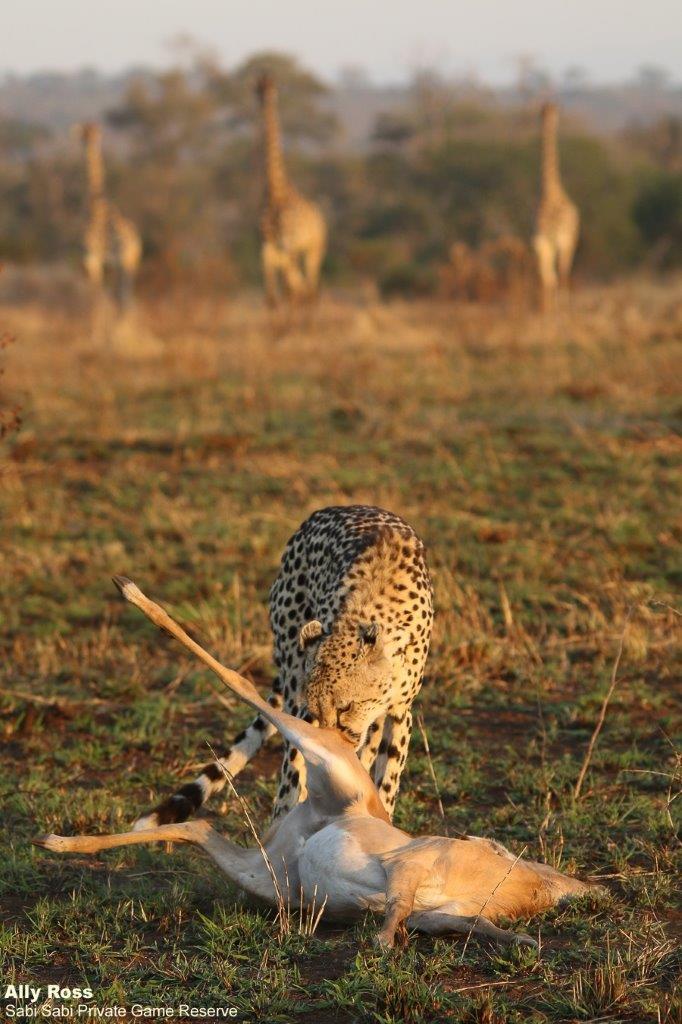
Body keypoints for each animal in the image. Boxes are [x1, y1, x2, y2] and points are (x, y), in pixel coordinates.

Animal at [133, 504, 433, 829]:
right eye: (319, 712)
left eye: (345, 707)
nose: (334, 748)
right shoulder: (307, 713)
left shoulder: (399, 711)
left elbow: (386, 780)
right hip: (292, 675)